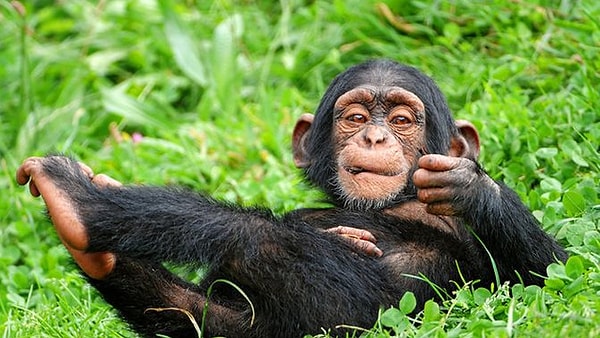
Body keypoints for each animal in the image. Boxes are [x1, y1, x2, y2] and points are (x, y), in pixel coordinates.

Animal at [16, 60, 564, 338]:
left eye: (403, 120)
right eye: (356, 118)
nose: (376, 137)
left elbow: (547, 274)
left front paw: (473, 187)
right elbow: (223, 321)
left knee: (255, 234)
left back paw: (81, 203)